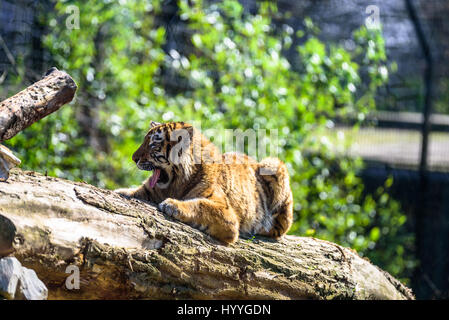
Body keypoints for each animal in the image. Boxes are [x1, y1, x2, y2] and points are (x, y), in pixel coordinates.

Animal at [114, 121, 292, 244]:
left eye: (153, 144)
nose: (133, 158)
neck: (176, 182)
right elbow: (136, 191)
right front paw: (120, 192)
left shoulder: (225, 212)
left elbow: (200, 205)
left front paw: (172, 204)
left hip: (274, 164)